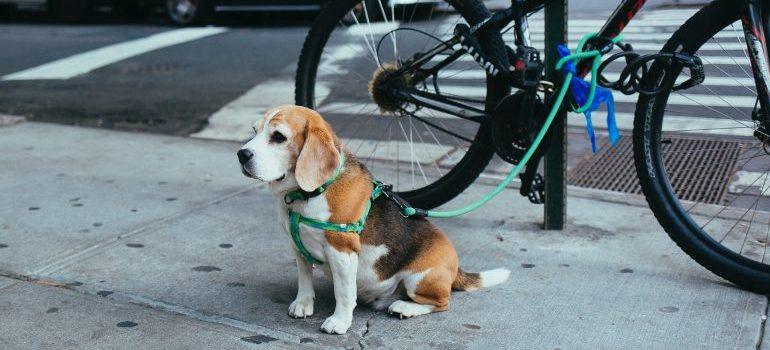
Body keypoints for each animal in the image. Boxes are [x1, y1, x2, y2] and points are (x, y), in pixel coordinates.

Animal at [237, 105, 508, 334]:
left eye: (278, 137)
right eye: (254, 130)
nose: (241, 154)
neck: (309, 193)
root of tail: (456, 267)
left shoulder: (342, 251)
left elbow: (344, 292)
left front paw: (339, 322)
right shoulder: (297, 246)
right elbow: (304, 279)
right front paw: (303, 304)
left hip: (419, 278)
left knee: (443, 303)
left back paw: (404, 307)